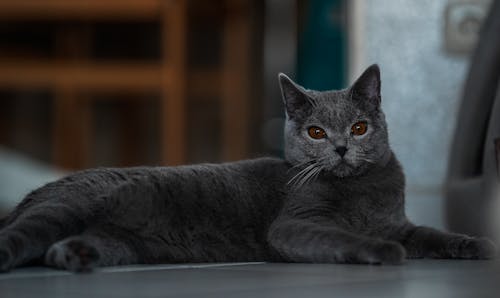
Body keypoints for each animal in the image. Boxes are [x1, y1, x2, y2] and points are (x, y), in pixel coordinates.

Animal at [0, 65, 494, 272]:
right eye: (316, 132)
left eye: (358, 127)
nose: (339, 148)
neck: (361, 191)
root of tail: (37, 192)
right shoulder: (295, 225)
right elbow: (344, 237)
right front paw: (383, 251)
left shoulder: (400, 223)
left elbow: (433, 234)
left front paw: (478, 244)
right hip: (65, 207)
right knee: (24, 235)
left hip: (121, 243)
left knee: (63, 247)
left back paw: (73, 256)